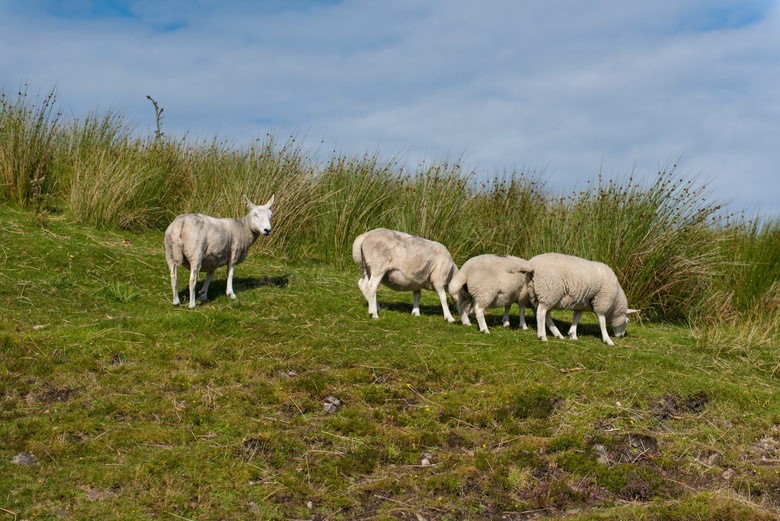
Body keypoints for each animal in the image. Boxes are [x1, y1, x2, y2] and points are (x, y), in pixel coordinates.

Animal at [512, 253, 640, 346]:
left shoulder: (581, 304)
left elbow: (576, 318)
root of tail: (532, 265)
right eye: (628, 321)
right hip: (549, 290)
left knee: (546, 314)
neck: (615, 304)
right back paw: (542, 336)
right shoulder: (602, 302)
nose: (620, 336)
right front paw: (607, 340)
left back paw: (557, 334)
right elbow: (602, 321)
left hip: (541, 293)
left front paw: (572, 334)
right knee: (541, 313)